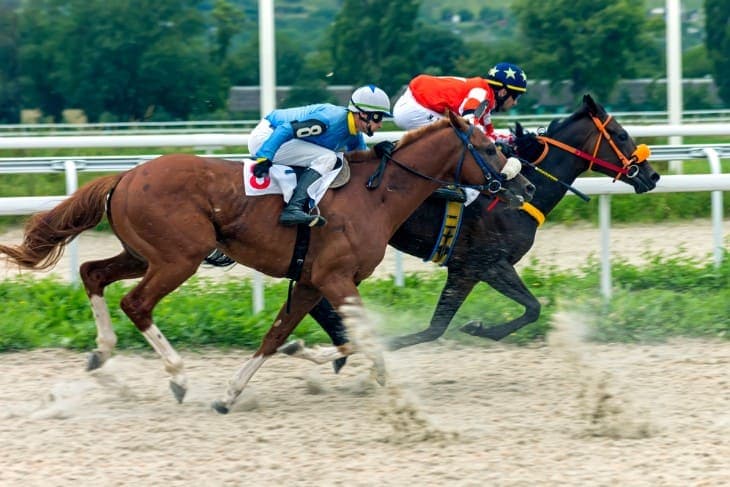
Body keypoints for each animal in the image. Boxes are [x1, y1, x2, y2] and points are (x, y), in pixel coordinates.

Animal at [0, 110, 535, 414]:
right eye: (488, 147)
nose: (525, 186)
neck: (375, 195)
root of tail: (126, 176)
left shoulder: (314, 280)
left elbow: (279, 335)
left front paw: (234, 392)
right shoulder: (336, 278)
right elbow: (361, 334)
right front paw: (388, 386)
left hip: (141, 253)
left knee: (92, 273)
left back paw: (102, 353)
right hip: (178, 258)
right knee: (137, 304)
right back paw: (177, 377)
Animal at [280, 94, 660, 368]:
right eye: (622, 134)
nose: (653, 176)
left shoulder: (470, 269)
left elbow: (443, 326)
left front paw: (476, 327)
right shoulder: (485, 263)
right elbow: (527, 309)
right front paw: (476, 327)